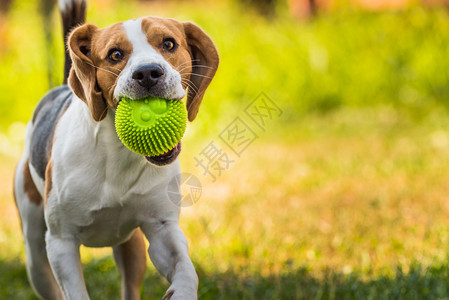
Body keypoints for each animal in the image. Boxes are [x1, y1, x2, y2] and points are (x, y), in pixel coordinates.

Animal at [12, 0, 219, 298]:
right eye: (115, 54)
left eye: (168, 44)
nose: (147, 73)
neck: (119, 155)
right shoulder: (62, 242)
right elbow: (75, 291)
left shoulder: (162, 229)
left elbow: (186, 271)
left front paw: (182, 291)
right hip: (36, 257)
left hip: (131, 247)